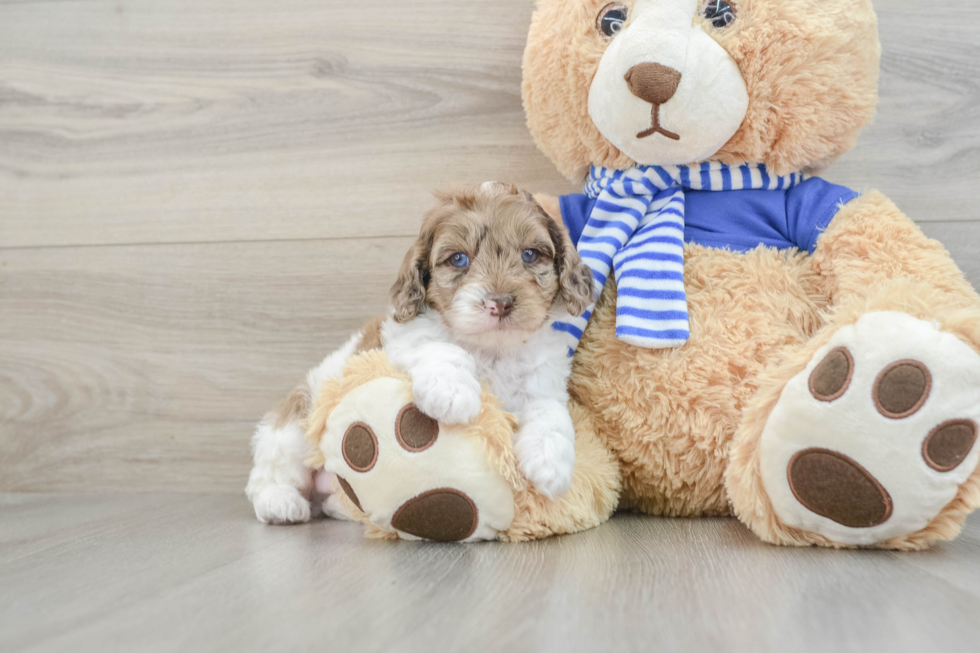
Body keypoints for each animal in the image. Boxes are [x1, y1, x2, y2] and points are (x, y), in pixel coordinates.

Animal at [249, 181, 592, 524]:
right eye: (458, 259)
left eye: (530, 254)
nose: (501, 302)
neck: (492, 348)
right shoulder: (399, 340)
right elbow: (435, 345)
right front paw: (453, 391)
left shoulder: (543, 379)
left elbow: (549, 410)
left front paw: (551, 460)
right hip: (295, 427)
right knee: (271, 473)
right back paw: (279, 503)